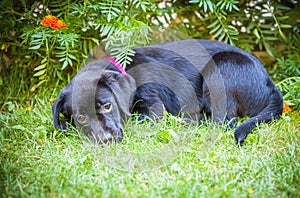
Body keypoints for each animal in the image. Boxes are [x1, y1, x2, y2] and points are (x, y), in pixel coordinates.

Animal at [52, 39, 284, 144]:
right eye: (81, 118)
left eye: (107, 106)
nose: (106, 140)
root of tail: (270, 83)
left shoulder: (153, 108)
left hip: (221, 68)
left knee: (223, 120)